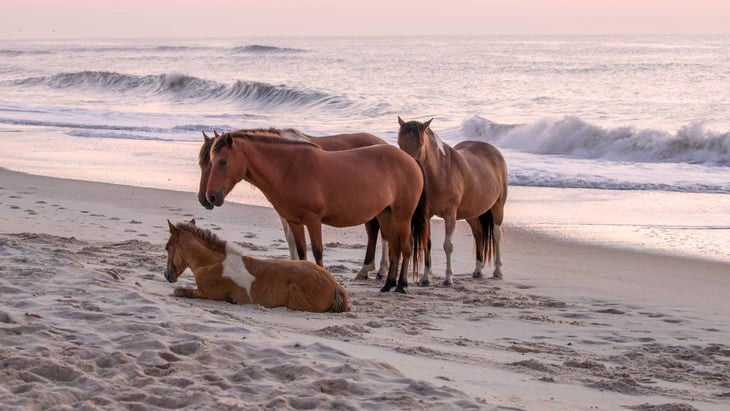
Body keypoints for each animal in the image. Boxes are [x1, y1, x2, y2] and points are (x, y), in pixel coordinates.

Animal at [164, 219, 350, 313]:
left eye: (167, 247)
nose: (167, 275)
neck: (212, 263)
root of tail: (334, 285)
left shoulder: (206, 294)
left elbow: (178, 291)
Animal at [204, 130, 428, 293]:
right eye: (211, 161)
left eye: (223, 162)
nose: (211, 197)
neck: (287, 169)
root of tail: (410, 160)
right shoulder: (294, 221)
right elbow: (302, 252)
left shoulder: (313, 220)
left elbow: (318, 252)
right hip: (385, 214)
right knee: (395, 248)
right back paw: (388, 284)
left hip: (402, 216)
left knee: (406, 247)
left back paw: (400, 285)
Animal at [397, 117, 508, 286]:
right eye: (399, 144)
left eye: (420, 143)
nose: (408, 168)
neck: (441, 172)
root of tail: (494, 152)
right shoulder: (427, 216)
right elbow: (427, 244)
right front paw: (425, 278)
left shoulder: (450, 215)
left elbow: (448, 246)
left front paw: (449, 278)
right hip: (472, 213)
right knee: (479, 234)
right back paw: (478, 270)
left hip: (498, 207)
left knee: (497, 235)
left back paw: (498, 271)